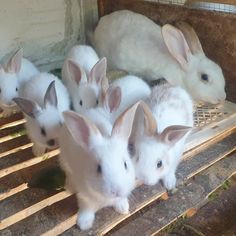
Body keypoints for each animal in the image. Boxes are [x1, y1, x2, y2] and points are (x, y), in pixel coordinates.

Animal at [59, 102, 140, 230]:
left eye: (125, 164)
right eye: (98, 168)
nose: (116, 191)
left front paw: (123, 208)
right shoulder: (84, 197)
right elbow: (86, 208)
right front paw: (84, 224)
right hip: (64, 161)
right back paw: (69, 188)